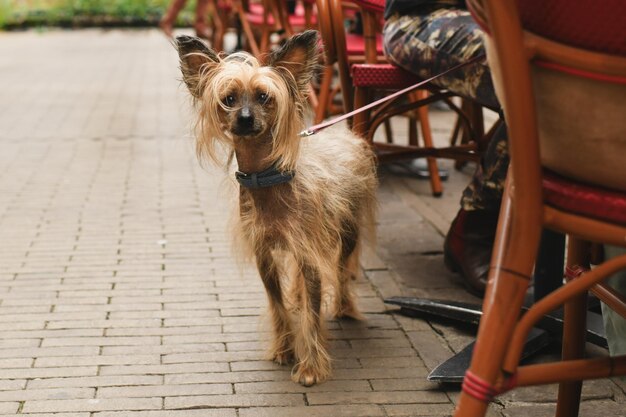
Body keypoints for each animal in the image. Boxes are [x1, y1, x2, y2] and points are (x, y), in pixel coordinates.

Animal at [177, 30, 376, 386]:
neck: (267, 179)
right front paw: (285, 349)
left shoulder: (309, 254)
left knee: (340, 271)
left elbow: (313, 313)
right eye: (229, 99)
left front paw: (310, 367)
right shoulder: (265, 255)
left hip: (347, 232)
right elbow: (278, 303)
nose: (245, 119)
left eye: (264, 97)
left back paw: (343, 307)